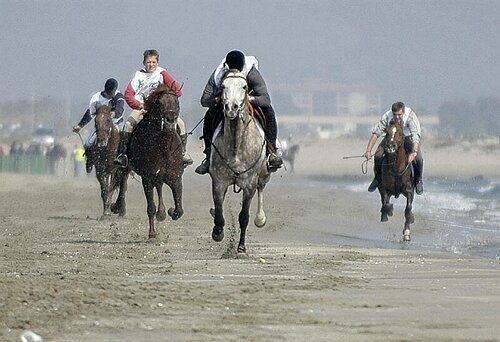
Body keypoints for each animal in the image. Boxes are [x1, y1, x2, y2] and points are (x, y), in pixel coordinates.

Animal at [116, 84, 185, 239]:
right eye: (160, 103)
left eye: (176, 102)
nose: (170, 120)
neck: (164, 147)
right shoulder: (147, 178)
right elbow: (150, 207)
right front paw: (152, 233)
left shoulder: (176, 178)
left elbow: (179, 208)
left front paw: (170, 211)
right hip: (127, 167)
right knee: (123, 180)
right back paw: (118, 206)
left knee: (159, 187)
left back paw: (162, 212)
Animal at [209, 71, 272, 255]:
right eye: (223, 86)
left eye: (244, 86)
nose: (231, 108)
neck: (236, 146)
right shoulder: (219, 181)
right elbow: (219, 210)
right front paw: (218, 232)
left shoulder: (249, 184)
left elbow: (244, 216)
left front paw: (241, 247)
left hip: (263, 174)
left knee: (261, 187)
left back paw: (260, 218)